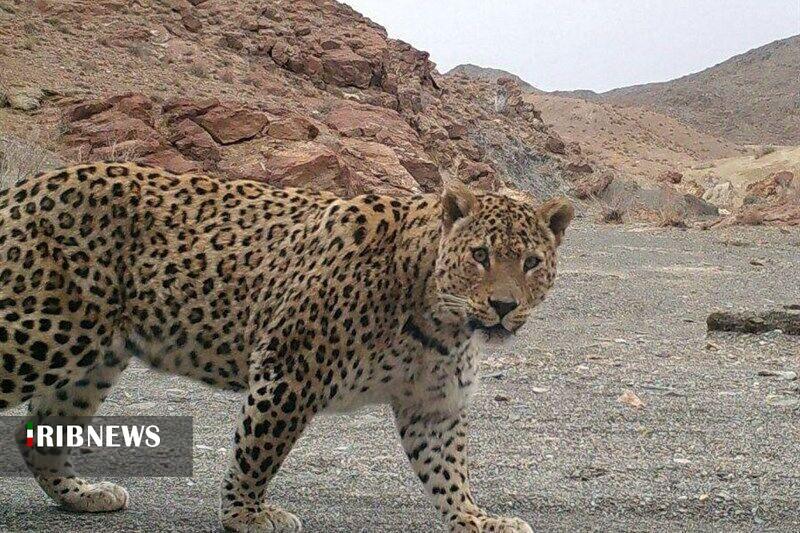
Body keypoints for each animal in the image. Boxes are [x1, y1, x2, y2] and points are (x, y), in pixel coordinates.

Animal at [0, 162, 576, 532]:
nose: (503, 305)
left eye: (530, 262)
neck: (439, 315)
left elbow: (448, 470)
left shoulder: (432, 403)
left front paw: (477, 519)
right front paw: (245, 515)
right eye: (480, 255)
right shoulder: (289, 369)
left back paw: (83, 496)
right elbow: (257, 450)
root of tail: (22, 187)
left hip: (91, 357)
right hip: (41, 332)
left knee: (42, 434)